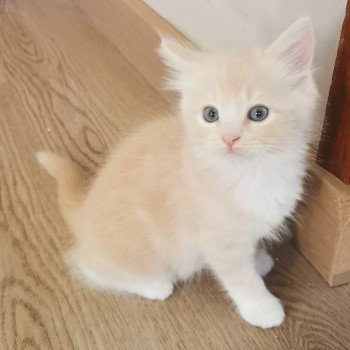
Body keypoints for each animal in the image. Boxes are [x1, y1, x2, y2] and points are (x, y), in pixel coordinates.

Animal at [37, 16, 318, 328]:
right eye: (210, 114)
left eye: (259, 114)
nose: (229, 139)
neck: (252, 173)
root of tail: (83, 212)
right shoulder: (217, 239)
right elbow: (240, 278)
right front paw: (261, 307)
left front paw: (258, 259)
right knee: (92, 267)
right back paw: (153, 284)